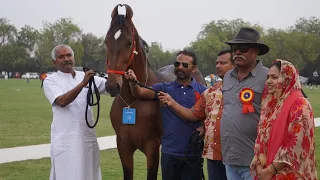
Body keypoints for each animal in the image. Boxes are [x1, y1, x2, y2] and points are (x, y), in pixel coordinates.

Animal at [104, 3, 206, 179]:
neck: (131, 102)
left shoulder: (152, 147)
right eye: (106, 41)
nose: (112, 86)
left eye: (129, 43)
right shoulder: (123, 147)